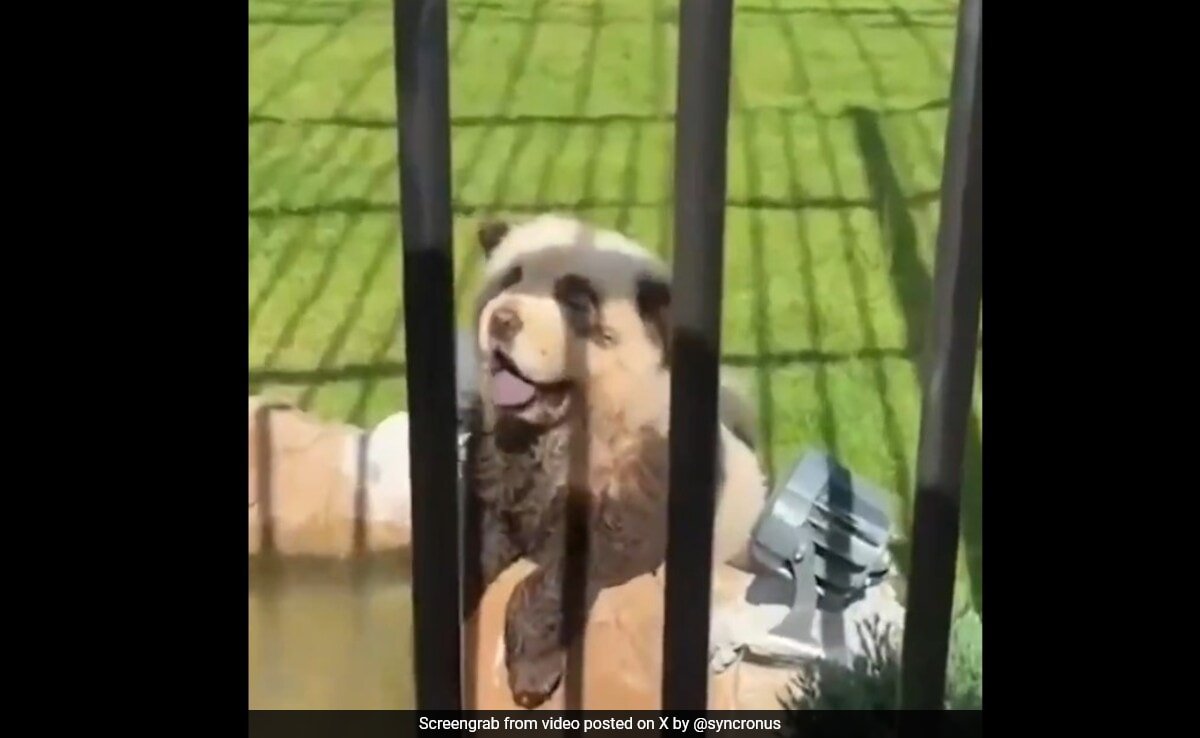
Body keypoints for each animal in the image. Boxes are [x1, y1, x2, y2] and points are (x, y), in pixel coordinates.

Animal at [460, 213, 768, 710]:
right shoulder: (499, 469)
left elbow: (559, 576)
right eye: (508, 280)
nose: (503, 320)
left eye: (575, 300)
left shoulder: (639, 489)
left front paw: (531, 672)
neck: (559, 431)